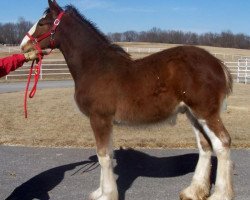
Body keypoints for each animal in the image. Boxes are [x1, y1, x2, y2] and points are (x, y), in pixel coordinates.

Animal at [20, 0, 233, 199]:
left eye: (42, 23)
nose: (23, 46)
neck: (96, 66)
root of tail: (217, 63)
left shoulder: (99, 119)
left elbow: (103, 156)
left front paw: (107, 195)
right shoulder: (104, 122)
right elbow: (107, 153)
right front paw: (100, 192)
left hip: (205, 113)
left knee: (222, 143)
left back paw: (220, 194)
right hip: (192, 114)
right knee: (205, 146)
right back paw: (193, 191)